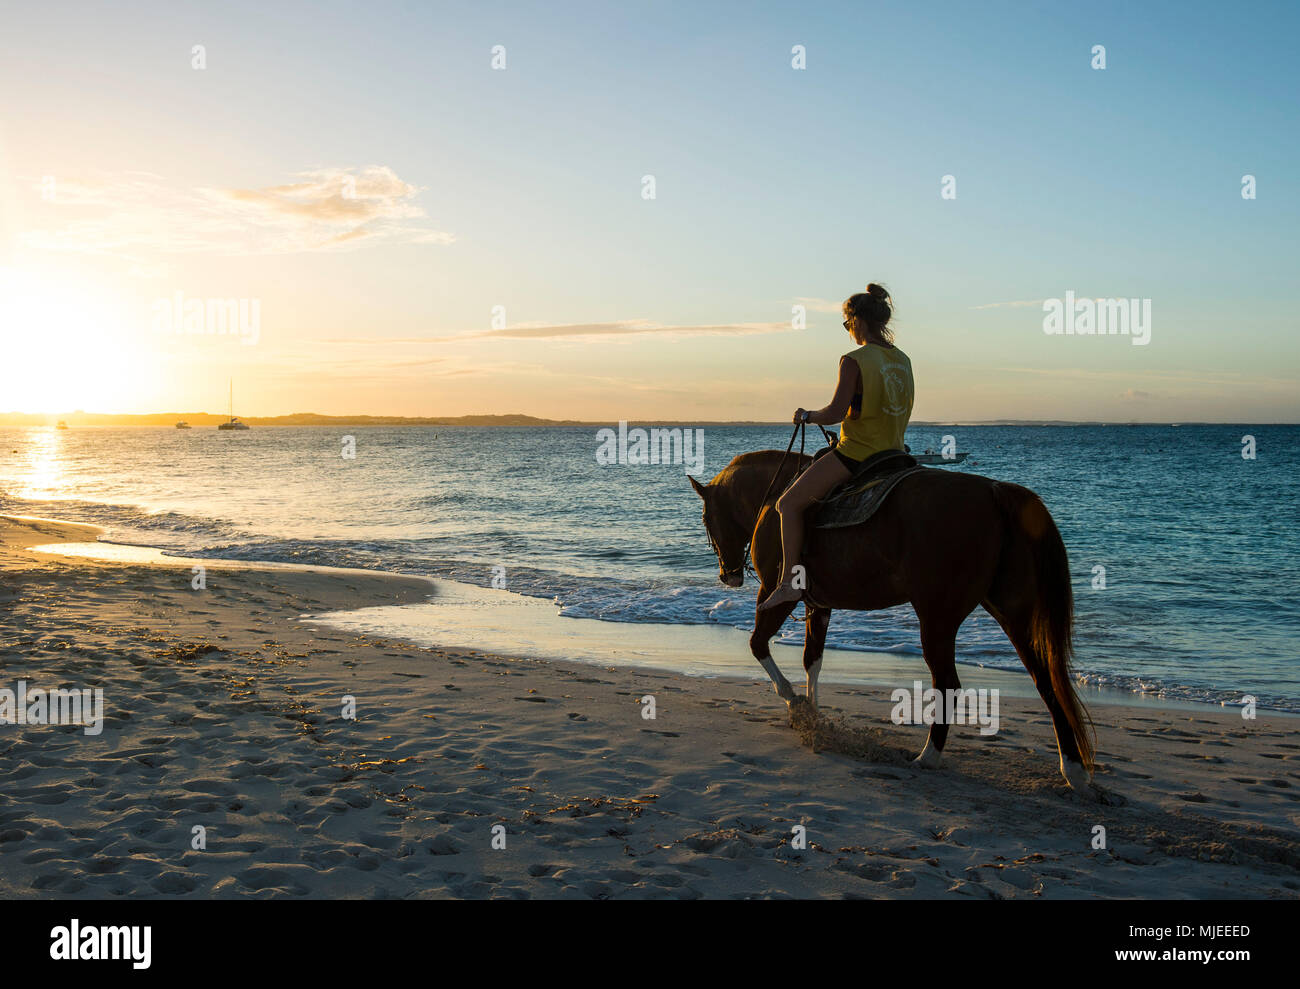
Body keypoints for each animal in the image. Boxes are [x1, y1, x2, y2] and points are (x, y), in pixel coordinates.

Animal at [691, 452, 1097, 790]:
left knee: (948, 682)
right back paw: (1073, 769)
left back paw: (928, 756)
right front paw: (813, 714)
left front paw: (795, 702)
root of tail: (994, 492)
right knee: (1044, 679)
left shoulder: (777, 596)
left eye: (706, 517)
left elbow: (757, 644)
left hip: (937, 616)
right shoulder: (819, 606)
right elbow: (813, 660)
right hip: (1010, 613)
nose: (729, 575)